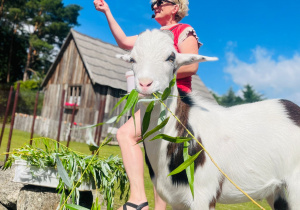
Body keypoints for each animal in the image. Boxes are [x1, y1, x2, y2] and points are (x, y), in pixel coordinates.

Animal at [116, 29, 300, 210]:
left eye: (170, 57)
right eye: (132, 59)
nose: (145, 84)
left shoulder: (203, 195)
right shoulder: (177, 201)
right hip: (277, 189)